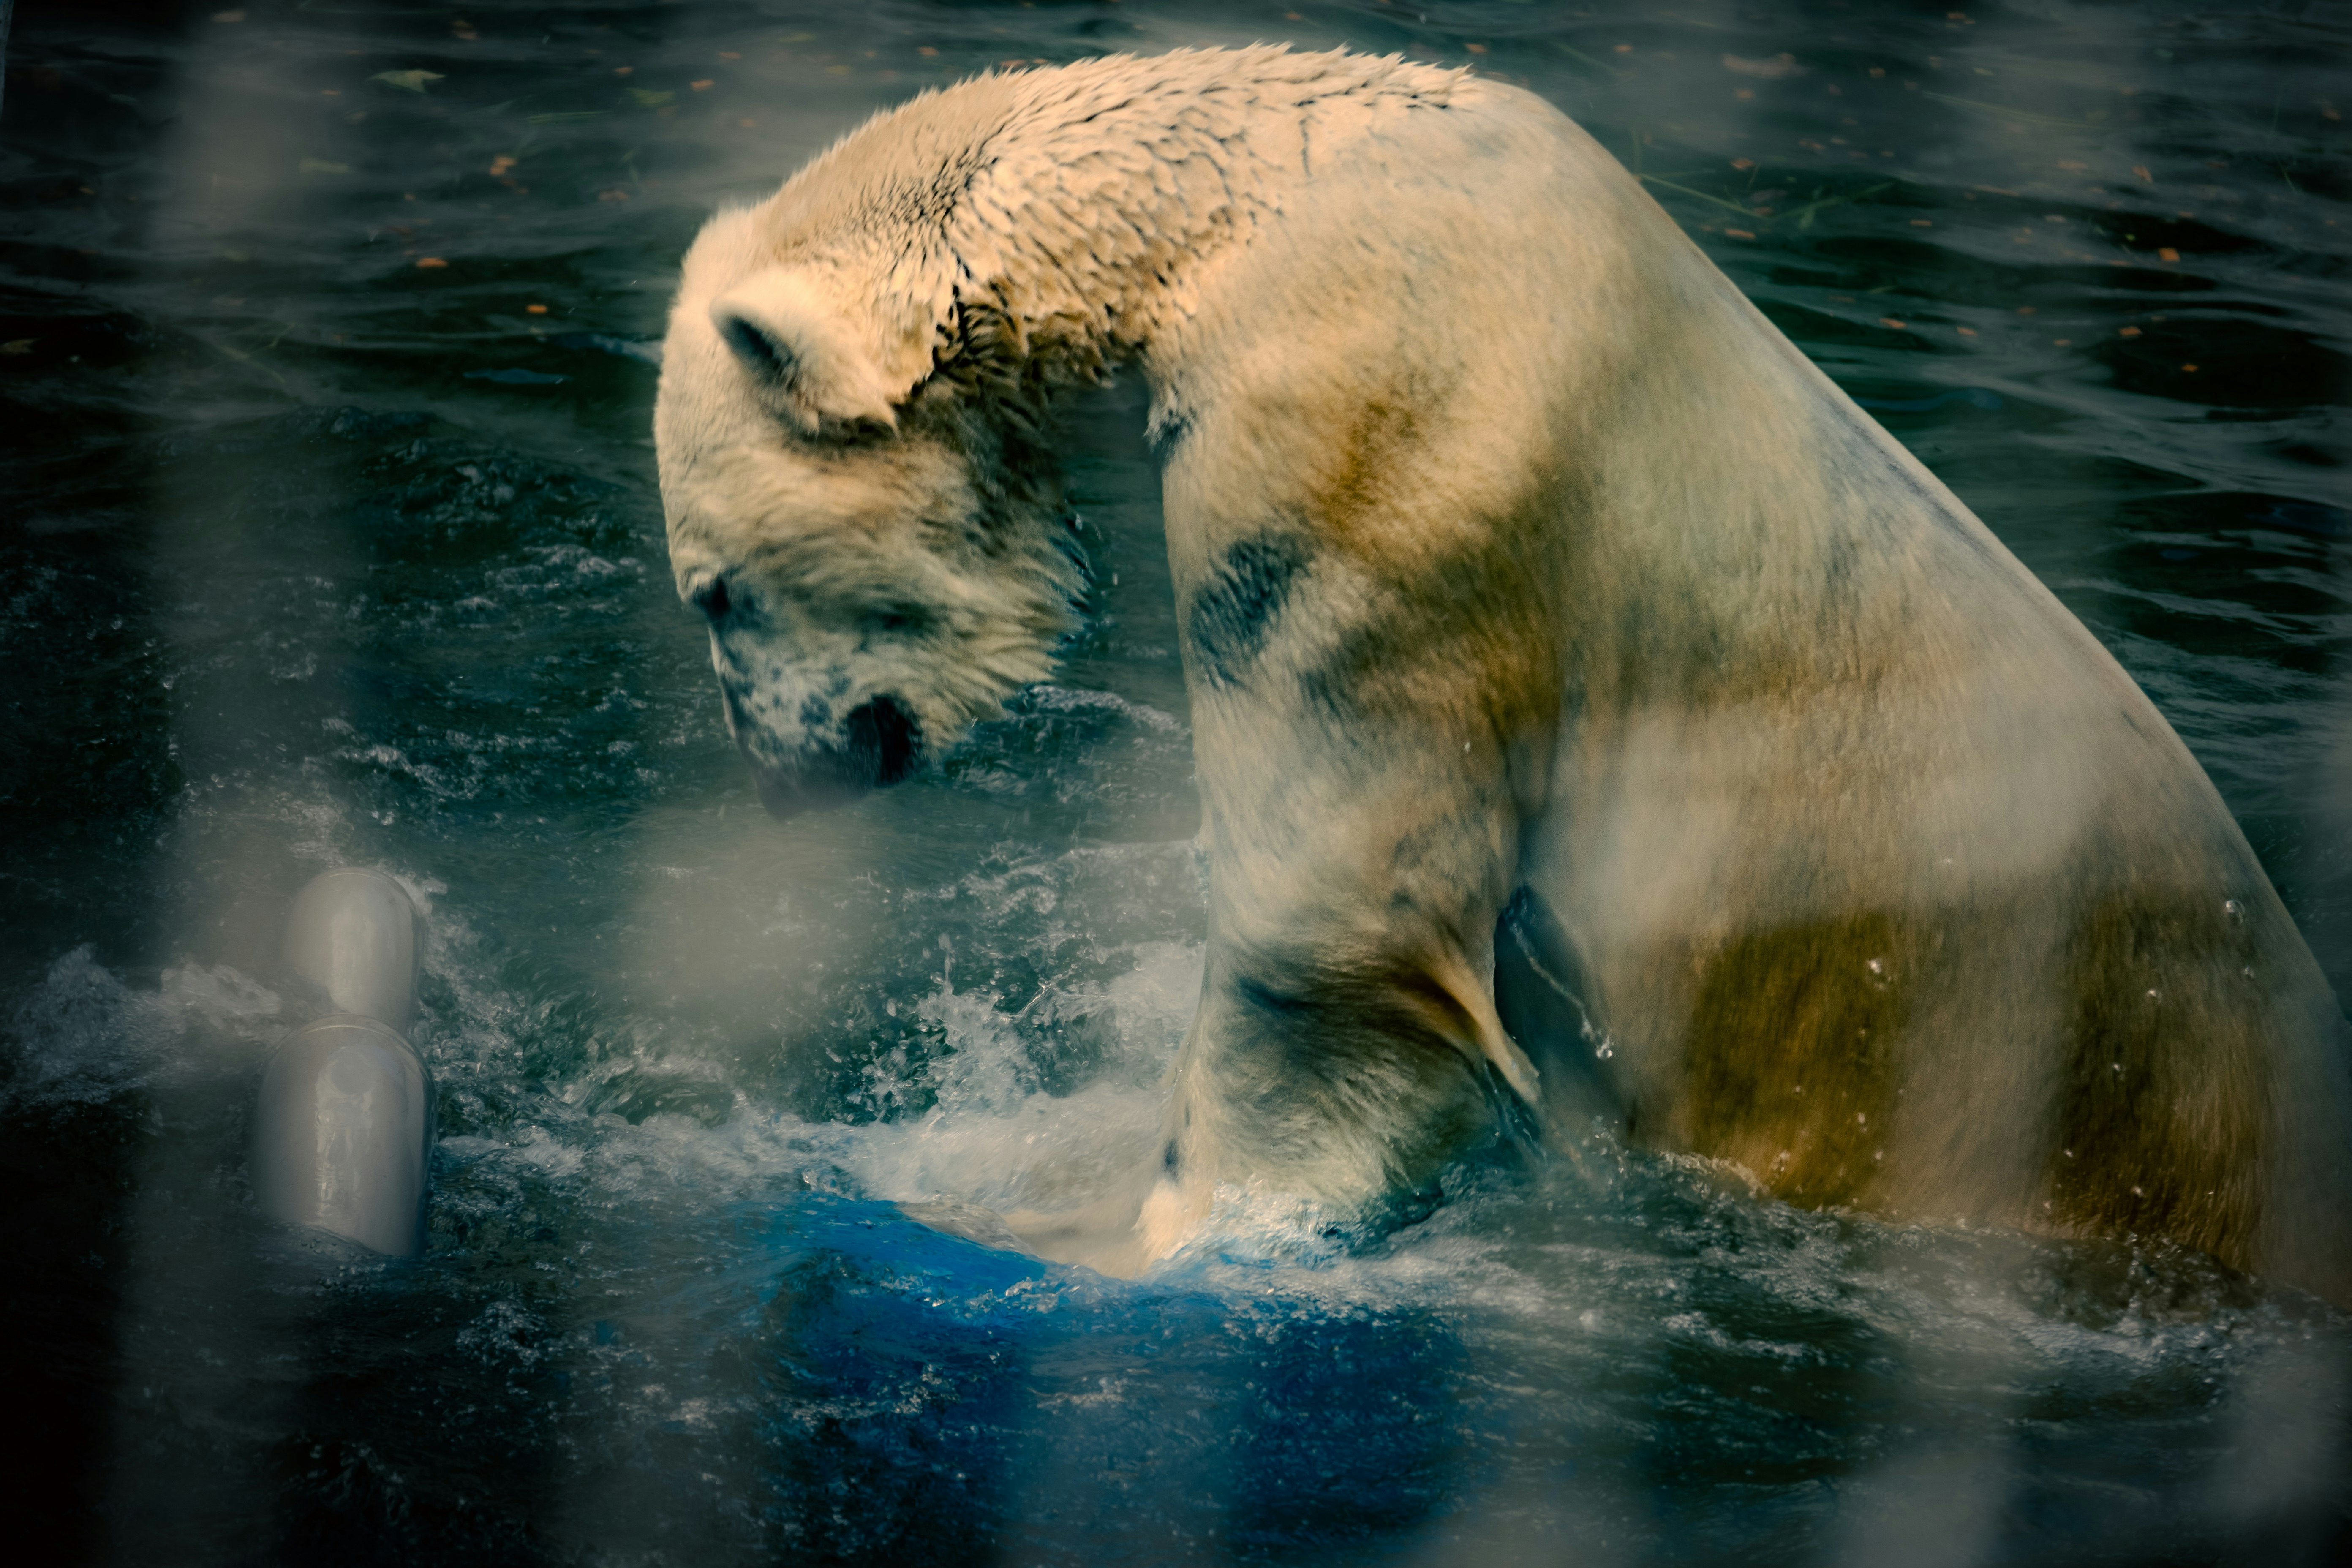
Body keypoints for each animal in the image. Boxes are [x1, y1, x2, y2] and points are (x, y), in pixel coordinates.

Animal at [653, 46, 2352, 1300]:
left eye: (713, 593)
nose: (790, 777)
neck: (1271, 204)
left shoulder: (1367, 466)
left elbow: (1332, 934)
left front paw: (1075, 1233)